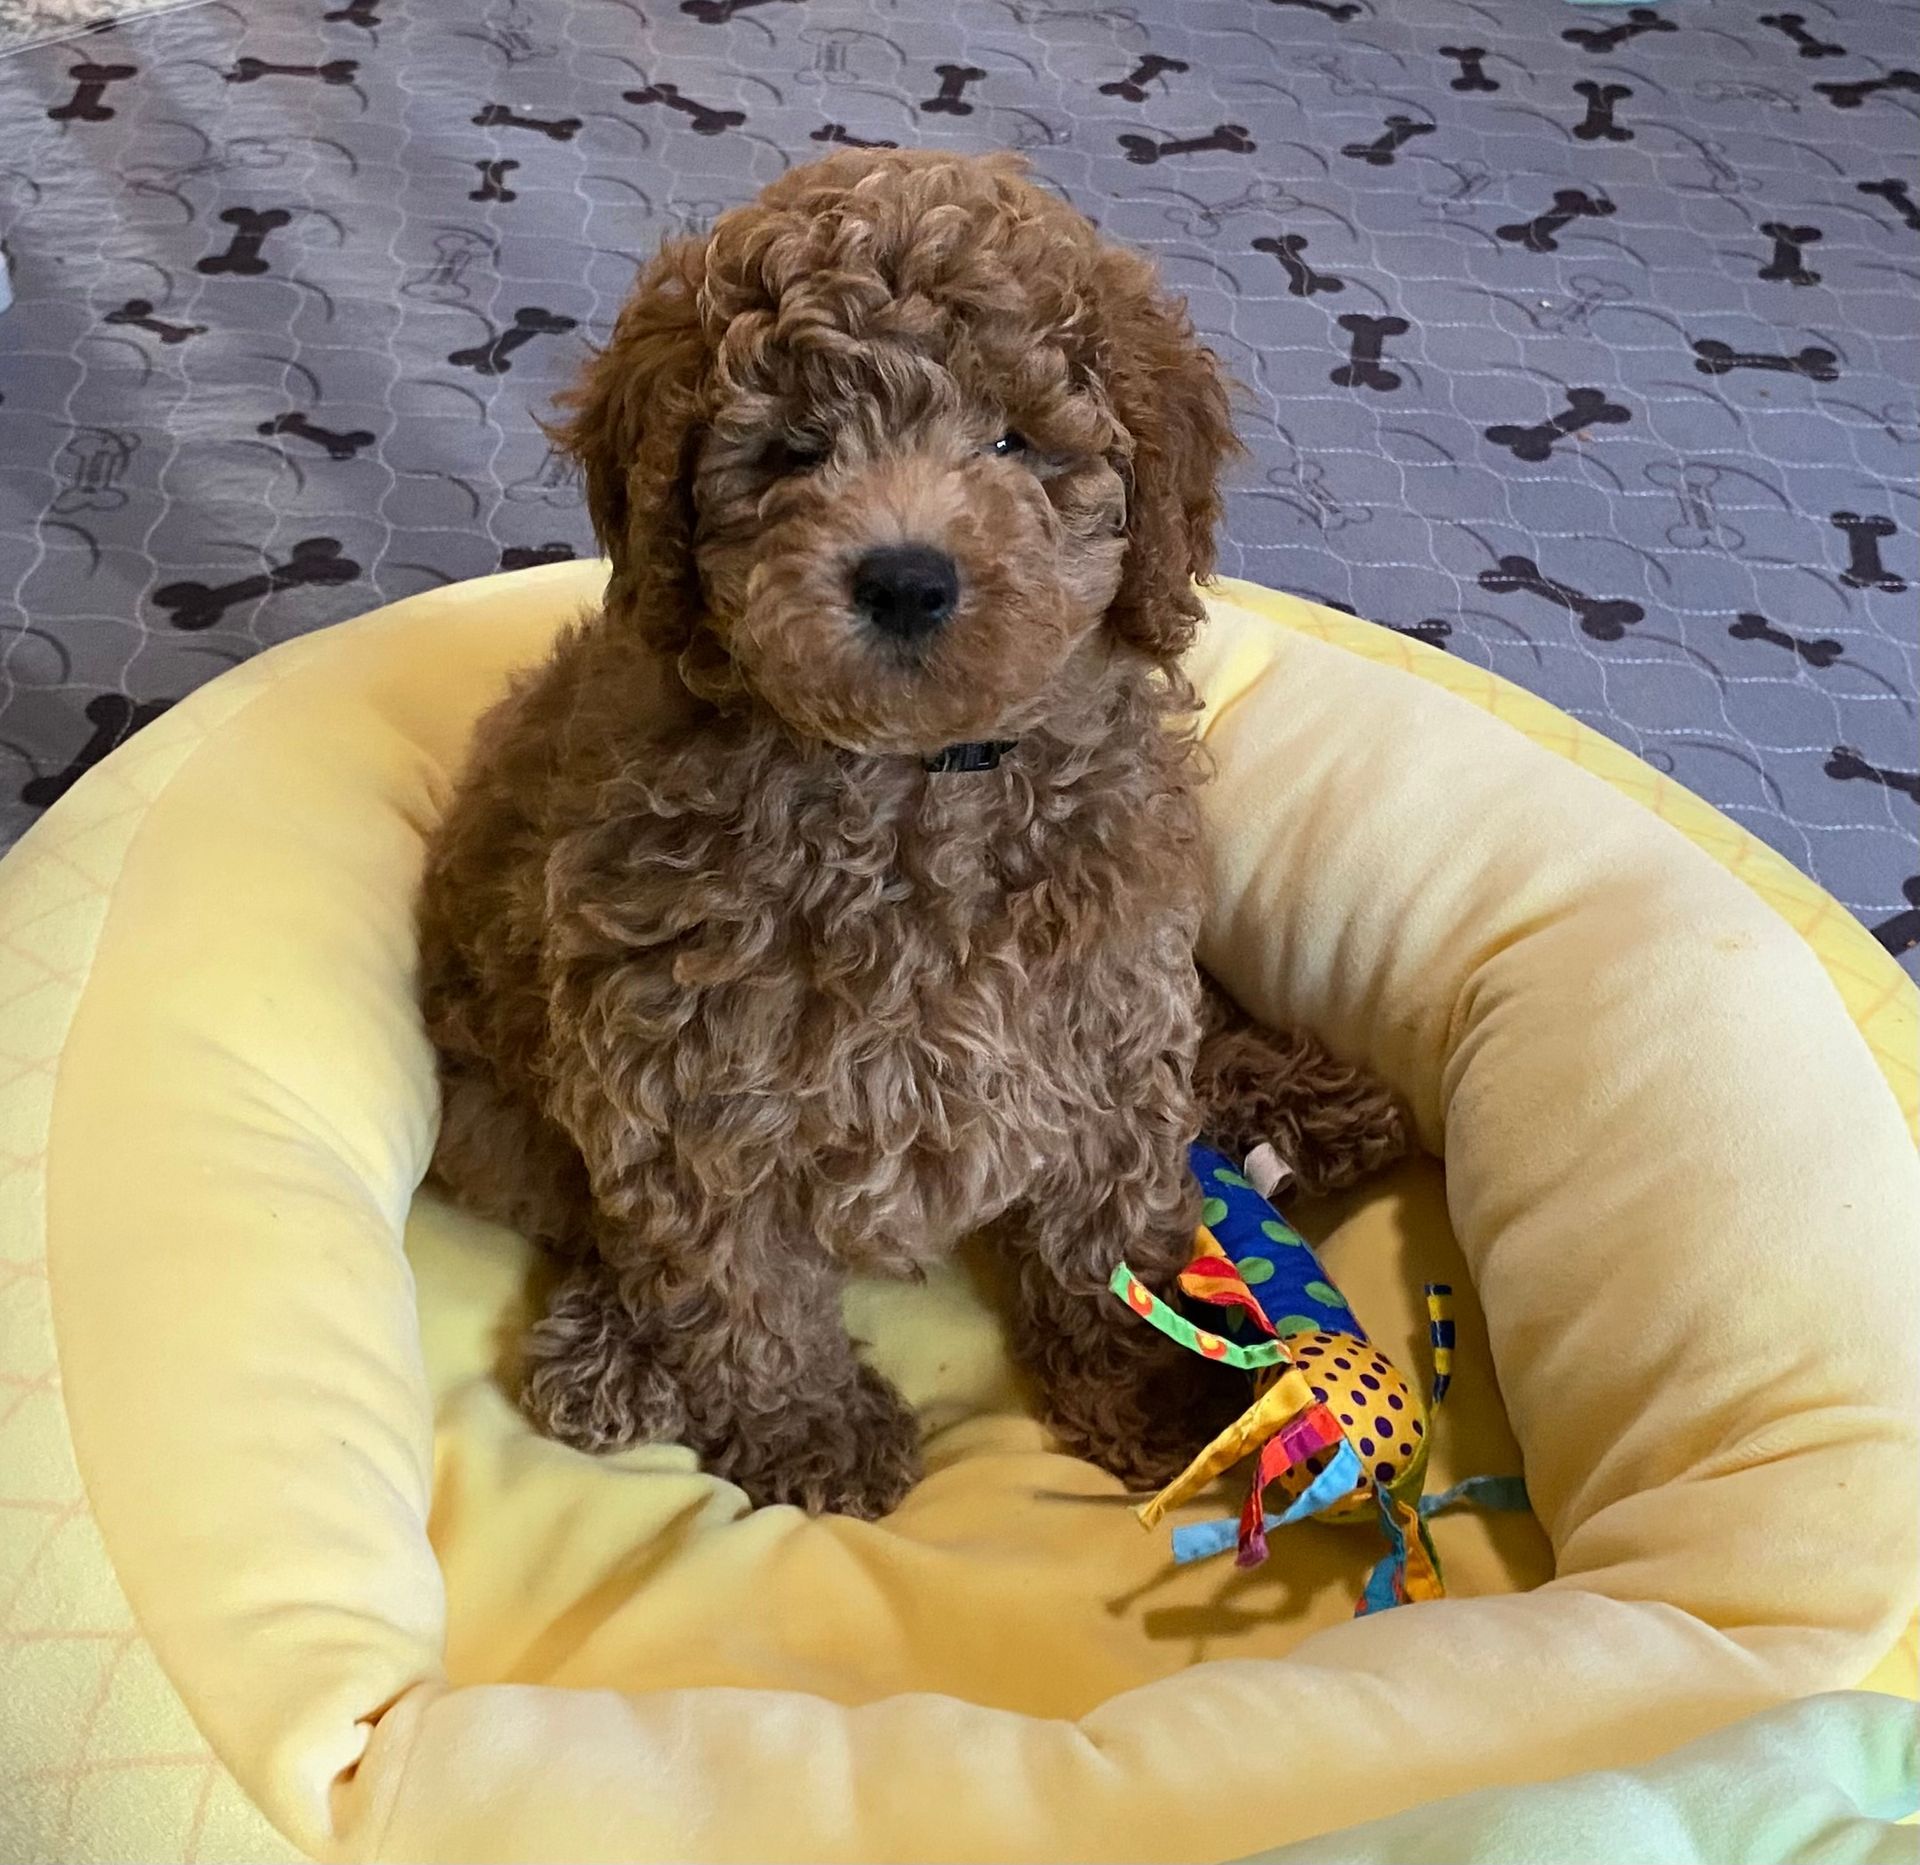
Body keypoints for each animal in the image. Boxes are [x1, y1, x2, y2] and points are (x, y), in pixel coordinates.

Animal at [420, 145, 1405, 1513]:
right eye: (792, 453)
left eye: (1016, 442)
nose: (904, 577)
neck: (917, 780)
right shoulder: (685, 1074)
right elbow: (740, 1283)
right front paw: (806, 1431)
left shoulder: (1101, 1015)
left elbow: (1109, 1229)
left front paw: (1159, 1390)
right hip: (494, 1121)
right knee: (613, 1240)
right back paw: (607, 1353)